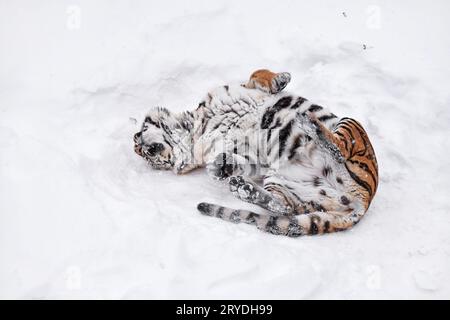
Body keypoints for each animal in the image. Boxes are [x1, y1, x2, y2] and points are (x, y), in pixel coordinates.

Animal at [132, 69, 378, 236]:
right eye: (146, 157)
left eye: (141, 148)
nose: (141, 146)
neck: (195, 130)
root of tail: (364, 200)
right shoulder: (248, 154)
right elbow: (241, 162)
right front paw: (220, 168)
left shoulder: (240, 89)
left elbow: (258, 74)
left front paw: (282, 78)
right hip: (282, 182)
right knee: (284, 207)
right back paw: (242, 188)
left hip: (350, 124)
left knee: (338, 146)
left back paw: (308, 122)